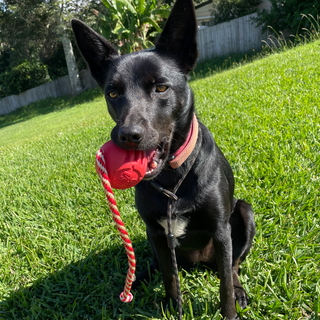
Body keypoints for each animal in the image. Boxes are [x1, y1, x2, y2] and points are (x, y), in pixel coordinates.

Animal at [72, 1, 255, 318]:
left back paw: (239, 290)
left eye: (160, 88)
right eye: (113, 93)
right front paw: (172, 305)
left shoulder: (222, 231)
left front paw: (230, 308)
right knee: (159, 265)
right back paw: (136, 280)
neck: (173, 178)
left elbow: (225, 284)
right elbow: (170, 277)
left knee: (232, 267)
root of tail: (198, 263)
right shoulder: (157, 233)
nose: (127, 136)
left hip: (244, 213)